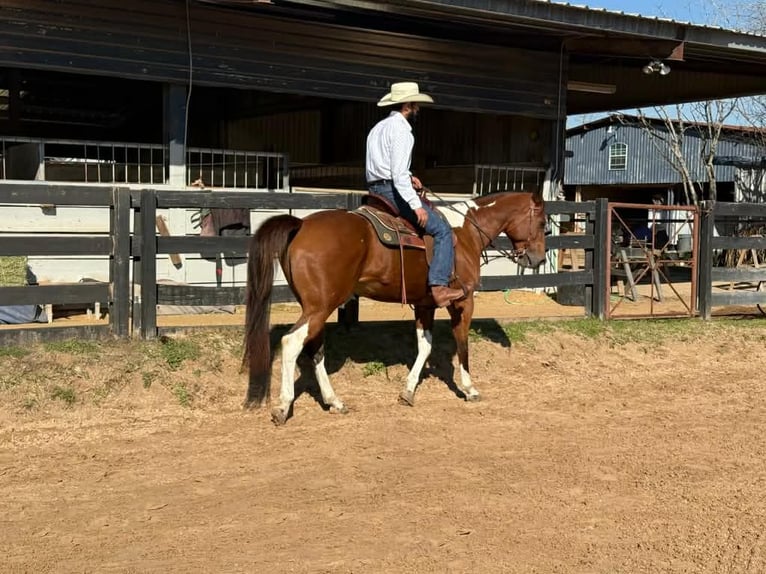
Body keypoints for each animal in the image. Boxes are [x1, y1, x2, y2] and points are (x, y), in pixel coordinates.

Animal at [243, 191, 547, 425]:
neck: (466, 232)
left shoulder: (425, 305)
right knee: (291, 342)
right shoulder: (463, 302)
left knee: (315, 350)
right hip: (320, 307)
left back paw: (334, 401)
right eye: (544, 223)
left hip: (316, 308)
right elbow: (462, 344)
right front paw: (470, 389)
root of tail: (301, 225)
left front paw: (408, 391)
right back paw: (283, 407)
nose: (539, 260)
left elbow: (424, 347)